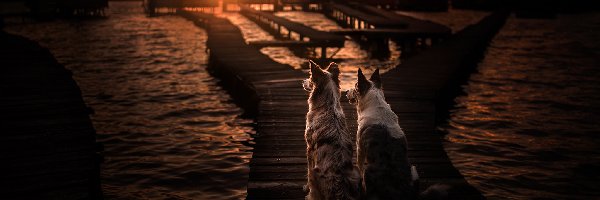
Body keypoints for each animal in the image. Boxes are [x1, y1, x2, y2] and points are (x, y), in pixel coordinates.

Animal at [302, 61, 358, 200]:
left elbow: (307, 169)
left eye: (310, 78)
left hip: (315, 173)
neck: (328, 105)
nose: (303, 81)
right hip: (356, 172)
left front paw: (306, 188)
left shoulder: (310, 148)